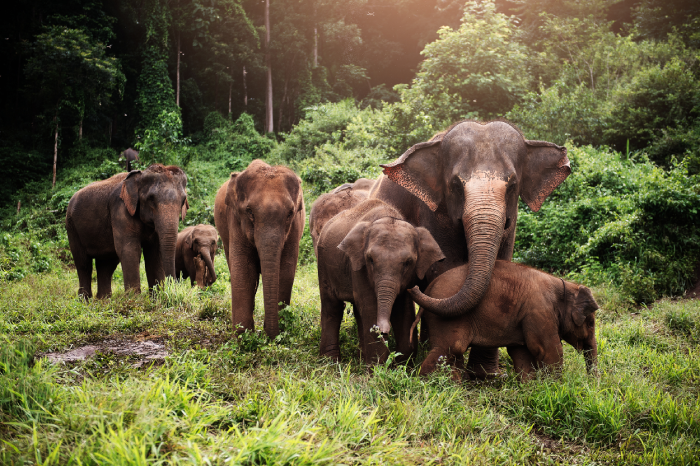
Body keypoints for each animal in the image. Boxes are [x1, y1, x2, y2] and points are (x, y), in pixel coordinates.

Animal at [65, 163, 189, 298]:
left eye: (183, 200)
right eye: (151, 198)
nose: (173, 292)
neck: (140, 175)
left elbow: (155, 252)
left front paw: (157, 298)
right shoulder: (120, 210)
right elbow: (130, 250)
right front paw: (135, 300)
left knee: (106, 264)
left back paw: (103, 300)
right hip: (72, 227)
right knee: (83, 263)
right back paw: (85, 299)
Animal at [215, 160, 304, 338]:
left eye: (290, 213)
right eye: (249, 211)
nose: (270, 336)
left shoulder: (294, 227)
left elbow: (285, 271)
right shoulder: (235, 220)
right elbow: (244, 271)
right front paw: (243, 337)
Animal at [318, 198, 442, 366]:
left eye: (408, 262)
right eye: (370, 259)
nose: (383, 331)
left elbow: (403, 309)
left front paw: (403, 365)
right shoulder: (358, 266)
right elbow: (371, 307)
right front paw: (378, 367)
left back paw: (360, 358)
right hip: (323, 263)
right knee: (332, 306)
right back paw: (330, 362)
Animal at [372, 119, 568, 378]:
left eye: (513, 185)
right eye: (455, 185)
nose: (412, 287)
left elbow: (501, 263)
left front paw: (486, 376)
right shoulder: (434, 213)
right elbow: (446, 269)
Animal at [412, 260, 600, 380]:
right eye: (591, 324)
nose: (592, 385)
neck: (566, 286)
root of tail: (428, 287)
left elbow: (521, 352)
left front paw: (531, 388)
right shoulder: (539, 311)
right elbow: (549, 350)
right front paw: (556, 388)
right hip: (446, 319)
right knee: (450, 348)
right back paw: (429, 384)